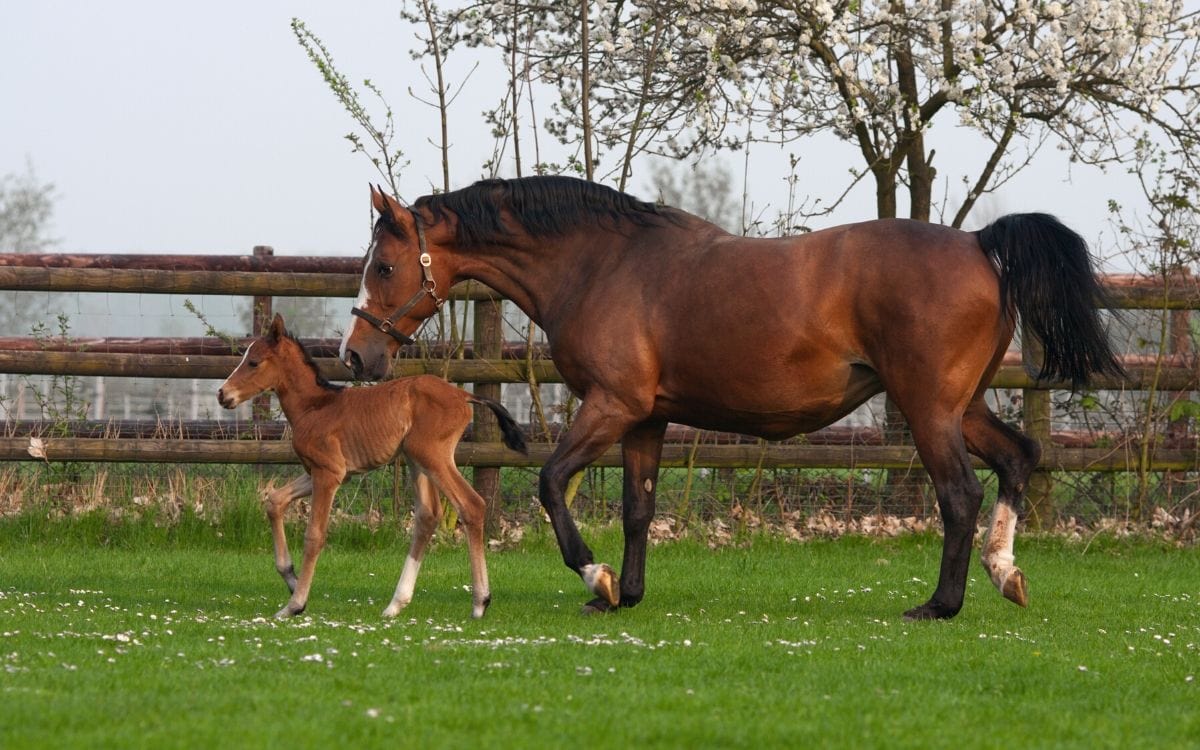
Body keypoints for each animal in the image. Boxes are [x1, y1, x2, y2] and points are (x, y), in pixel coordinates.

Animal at [217, 313, 527, 619]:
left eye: (253, 362)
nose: (222, 394)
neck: (315, 407)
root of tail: (463, 396)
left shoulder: (328, 474)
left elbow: (314, 535)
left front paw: (295, 603)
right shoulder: (326, 472)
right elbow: (274, 501)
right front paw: (291, 579)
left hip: (432, 455)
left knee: (471, 504)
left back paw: (480, 602)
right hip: (416, 459)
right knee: (428, 515)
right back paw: (395, 605)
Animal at [338, 176, 1121, 620]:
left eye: (385, 267)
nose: (355, 355)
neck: (602, 264)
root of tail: (979, 243)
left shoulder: (612, 405)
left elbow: (552, 482)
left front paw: (595, 575)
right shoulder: (647, 420)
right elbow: (638, 508)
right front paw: (625, 594)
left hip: (928, 411)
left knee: (960, 494)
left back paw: (941, 605)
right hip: (962, 407)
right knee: (1019, 458)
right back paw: (1006, 574)